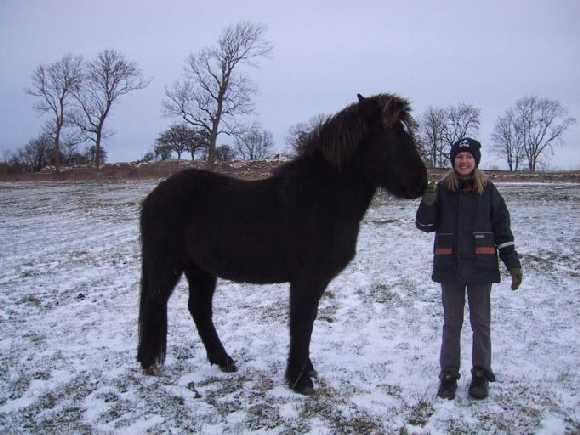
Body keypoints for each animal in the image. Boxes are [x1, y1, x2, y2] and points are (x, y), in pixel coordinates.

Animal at [136, 94, 426, 396]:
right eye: (393, 135)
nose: (421, 182)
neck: (321, 198)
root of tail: (154, 196)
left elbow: (307, 321)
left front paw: (307, 371)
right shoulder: (306, 279)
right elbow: (302, 323)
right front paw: (300, 380)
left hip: (200, 269)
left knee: (199, 309)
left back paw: (224, 361)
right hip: (167, 264)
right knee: (155, 302)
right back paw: (149, 363)